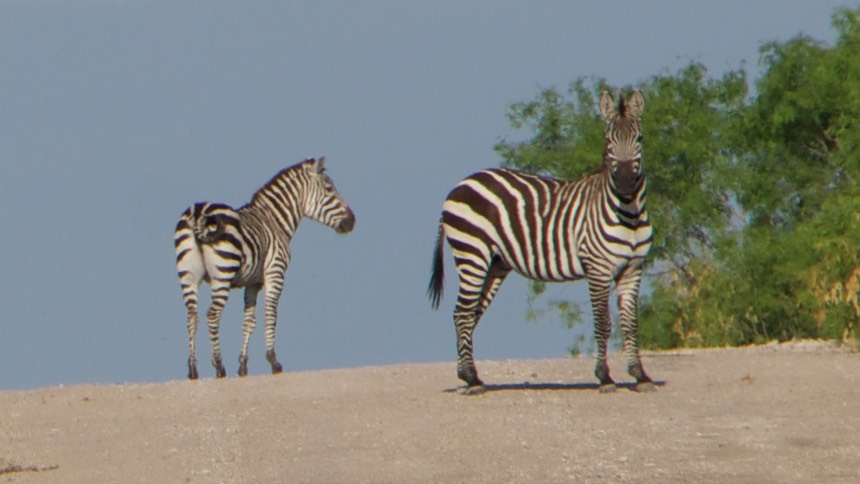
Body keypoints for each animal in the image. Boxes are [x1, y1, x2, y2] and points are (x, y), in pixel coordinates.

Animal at [174, 157, 356, 379]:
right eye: (329, 189)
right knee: (212, 315)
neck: (275, 220)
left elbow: (249, 321)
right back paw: (219, 367)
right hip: (223, 273)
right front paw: (273, 361)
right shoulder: (275, 272)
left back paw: (193, 370)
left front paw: (243, 367)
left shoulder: (252, 283)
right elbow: (271, 315)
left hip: (188, 275)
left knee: (192, 316)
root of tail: (198, 213)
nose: (352, 221)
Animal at [428, 90, 654, 394]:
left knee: (469, 313)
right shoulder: (598, 268)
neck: (628, 213)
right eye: (608, 141)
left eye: (639, 139)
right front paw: (605, 377)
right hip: (472, 252)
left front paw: (640, 376)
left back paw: (468, 375)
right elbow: (603, 323)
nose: (626, 182)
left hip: (495, 263)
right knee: (463, 312)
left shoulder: (633, 268)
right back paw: (473, 380)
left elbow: (631, 324)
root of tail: (460, 184)